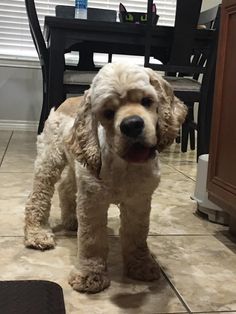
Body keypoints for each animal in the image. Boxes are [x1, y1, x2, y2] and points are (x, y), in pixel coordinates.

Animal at [24, 62, 186, 294]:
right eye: (108, 112)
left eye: (147, 101)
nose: (132, 125)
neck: (125, 165)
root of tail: (68, 100)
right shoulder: (92, 200)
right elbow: (92, 239)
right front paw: (90, 275)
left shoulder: (138, 200)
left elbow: (137, 235)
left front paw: (142, 266)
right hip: (50, 160)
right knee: (38, 196)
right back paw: (37, 234)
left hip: (76, 164)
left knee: (65, 187)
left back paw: (71, 220)